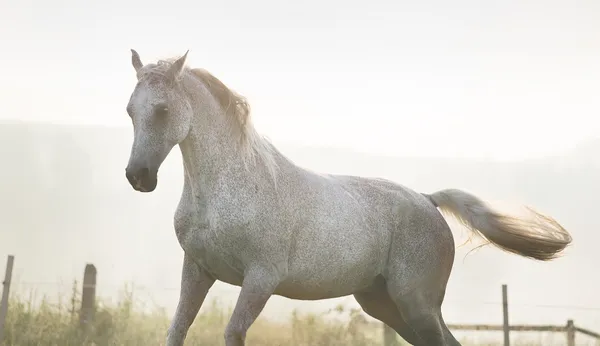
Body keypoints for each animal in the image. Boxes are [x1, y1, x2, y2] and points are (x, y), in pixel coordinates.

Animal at [123, 50, 572, 344]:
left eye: (162, 110)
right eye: (131, 110)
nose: (138, 177)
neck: (226, 189)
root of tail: (428, 200)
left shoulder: (260, 279)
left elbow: (233, 332)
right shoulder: (198, 270)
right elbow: (177, 330)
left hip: (417, 303)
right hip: (385, 304)